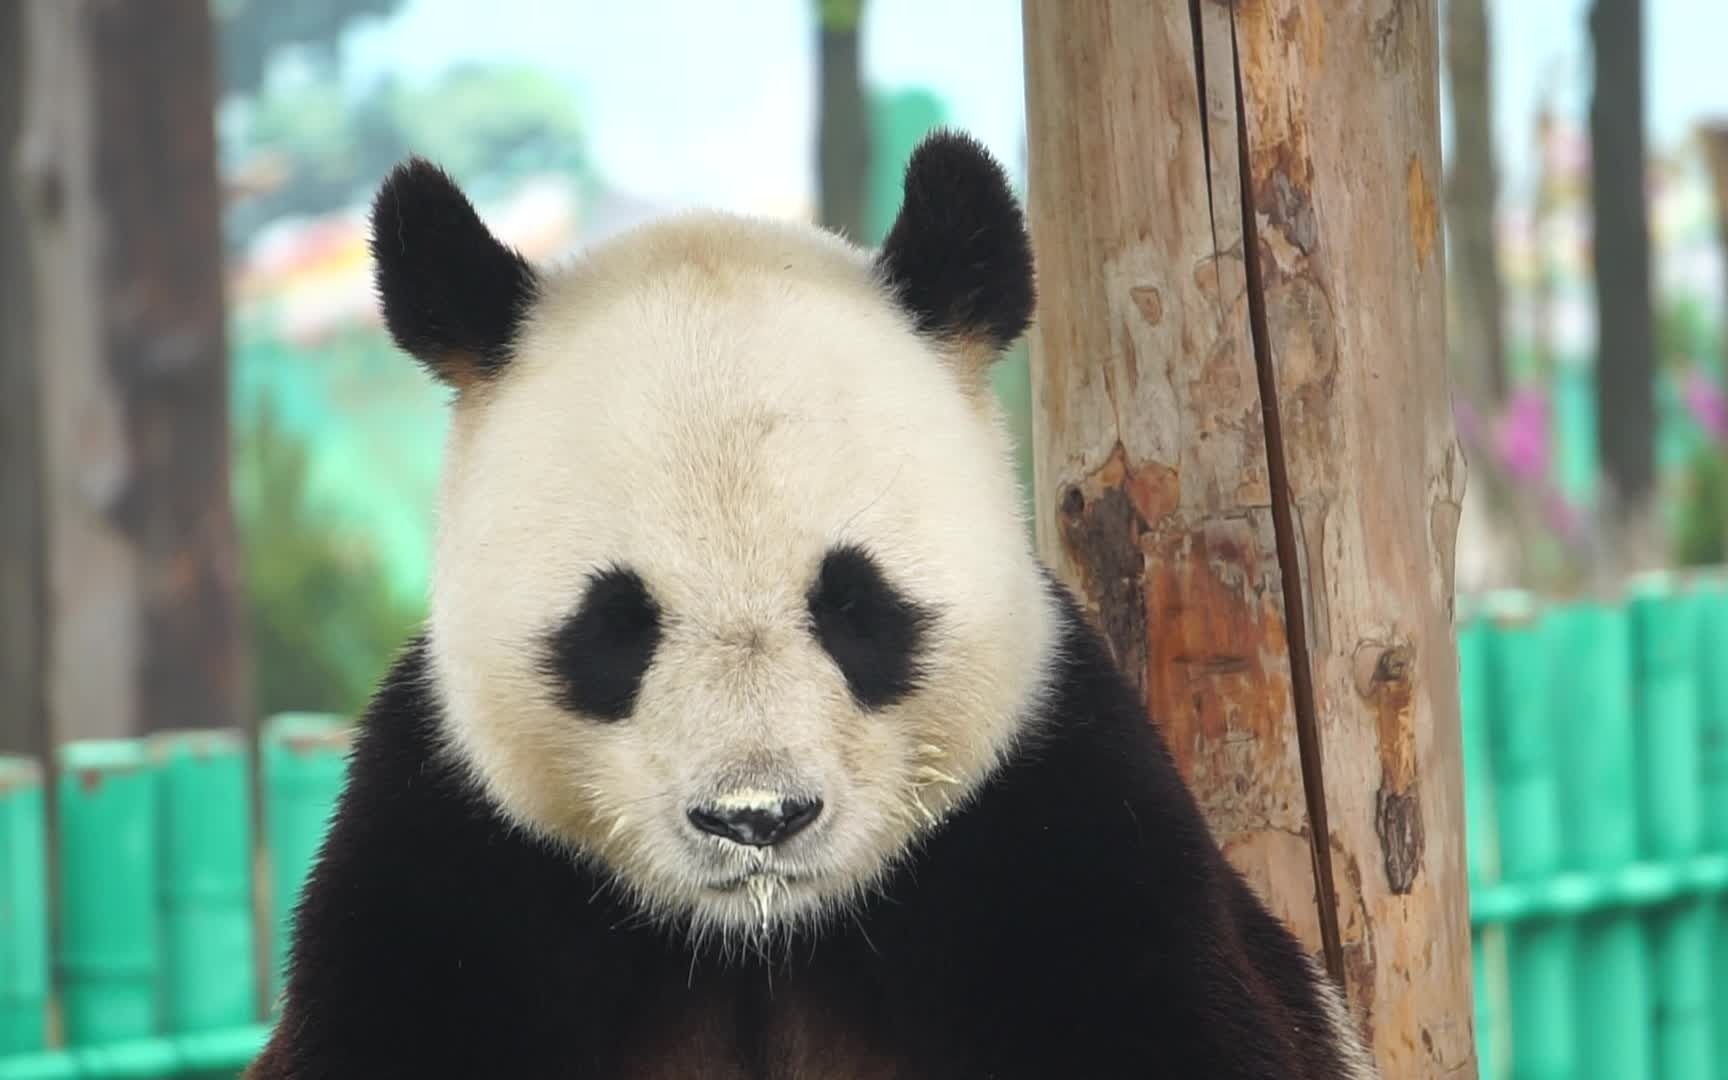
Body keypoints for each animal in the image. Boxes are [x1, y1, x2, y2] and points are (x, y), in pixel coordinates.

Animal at [250, 130, 1375, 1071]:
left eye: (854, 607)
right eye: (616, 625)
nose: (757, 818)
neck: (760, 943)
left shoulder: (1065, 834)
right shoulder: (450, 873)